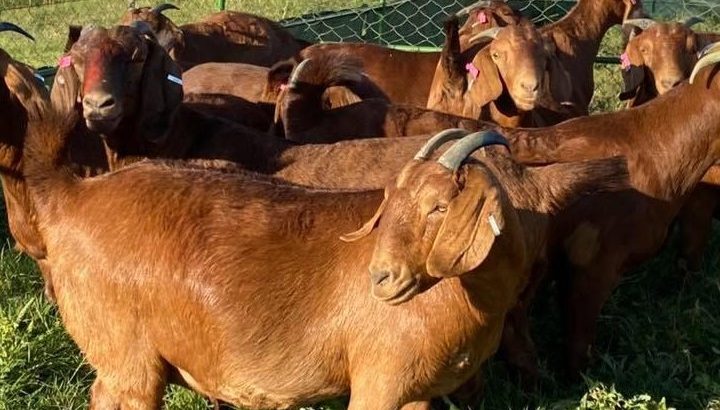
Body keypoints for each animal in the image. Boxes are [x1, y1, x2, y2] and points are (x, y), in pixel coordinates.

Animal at [23, 110, 629, 408]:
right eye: (391, 202)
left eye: (439, 207)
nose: (381, 278)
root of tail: (70, 195)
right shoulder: (379, 381)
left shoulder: (416, 392)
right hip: (127, 360)